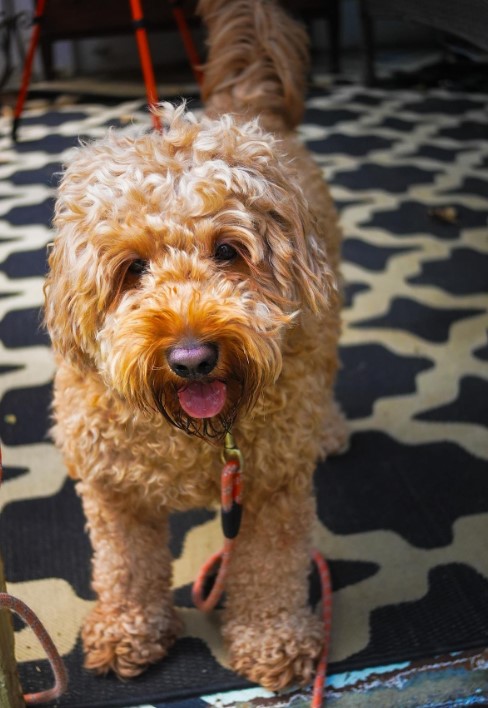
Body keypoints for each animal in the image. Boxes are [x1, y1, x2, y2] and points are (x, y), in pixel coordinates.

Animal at [43, 0, 346, 692]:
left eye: (228, 251)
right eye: (131, 268)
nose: (191, 358)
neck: (194, 435)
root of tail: (247, 112)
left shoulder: (274, 484)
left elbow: (270, 567)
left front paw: (273, 640)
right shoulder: (113, 488)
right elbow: (126, 565)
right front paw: (128, 631)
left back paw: (329, 427)